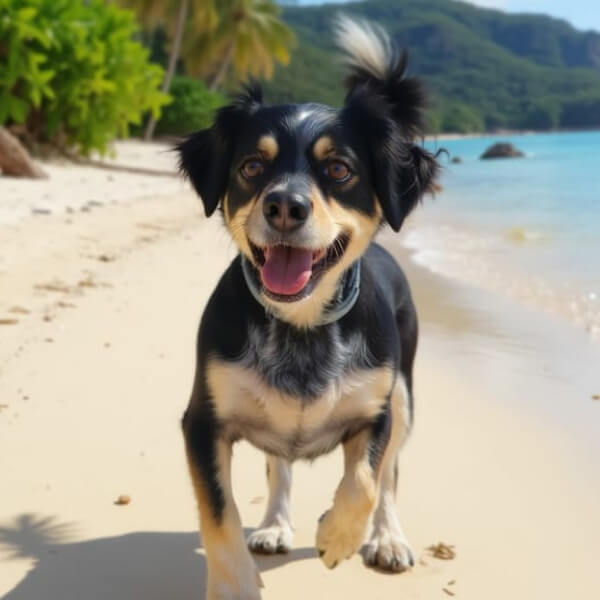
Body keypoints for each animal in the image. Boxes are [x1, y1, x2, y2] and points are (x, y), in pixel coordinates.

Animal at [178, 16, 440, 600]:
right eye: (252, 166)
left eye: (339, 170)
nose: (284, 205)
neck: (301, 327)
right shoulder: (202, 422)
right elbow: (219, 512)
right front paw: (233, 583)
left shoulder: (379, 412)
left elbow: (365, 481)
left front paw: (339, 537)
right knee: (279, 466)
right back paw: (274, 525)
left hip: (407, 395)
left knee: (390, 477)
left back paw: (387, 538)